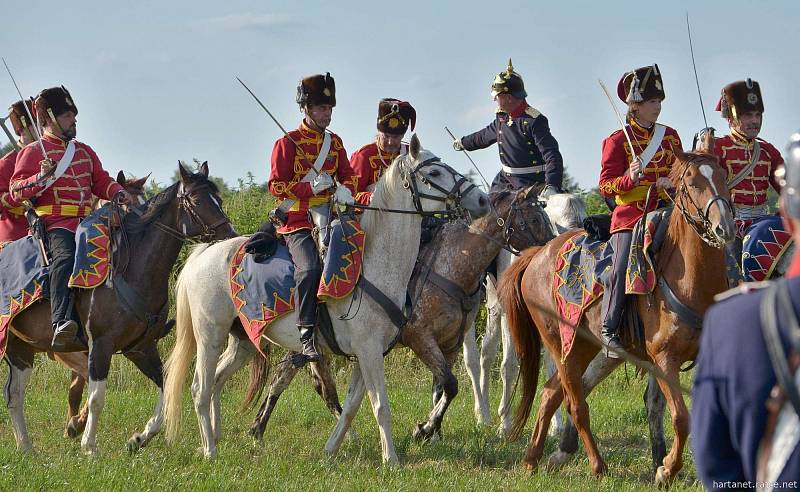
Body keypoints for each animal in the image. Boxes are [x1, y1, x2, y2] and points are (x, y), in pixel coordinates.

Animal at [4, 163, 234, 456]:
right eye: (195, 199)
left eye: (218, 199)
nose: (230, 235)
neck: (133, 270)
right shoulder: (100, 346)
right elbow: (96, 397)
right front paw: (89, 445)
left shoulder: (141, 348)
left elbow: (166, 385)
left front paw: (140, 437)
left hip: (20, 349)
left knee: (14, 396)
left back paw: (26, 447)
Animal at [162, 135, 488, 466]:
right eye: (433, 173)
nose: (481, 200)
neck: (374, 263)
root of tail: (204, 253)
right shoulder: (370, 350)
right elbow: (380, 404)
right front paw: (392, 460)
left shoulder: (371, 353)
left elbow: (353, 407)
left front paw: (331, 450)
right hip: (209, 337)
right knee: (200, 387)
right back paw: (210, 451)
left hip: (242, 341)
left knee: (216, 381)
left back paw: (214, 438)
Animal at [245, 185, 556, 442]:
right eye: (536, 219)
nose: (552, 252)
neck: (453, 264)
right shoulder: (419, 338)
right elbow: (450, 384)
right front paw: (426, 428)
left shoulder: (450, 344)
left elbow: (442, 388)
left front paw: (433, 430)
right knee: (312, 383)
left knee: (285, 375)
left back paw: (259, 427)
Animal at [500, 150, 736, 484]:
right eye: (691, 182)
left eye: (723, 176)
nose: (723, 227)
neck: (690, 279)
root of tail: (537, 254)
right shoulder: (664, 359)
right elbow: (680, 417)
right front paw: (666, 469)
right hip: (561, 345)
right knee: (576, 404)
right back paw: (597, 466)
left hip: (584, 346)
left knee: (549, 394)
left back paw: (533, 459)